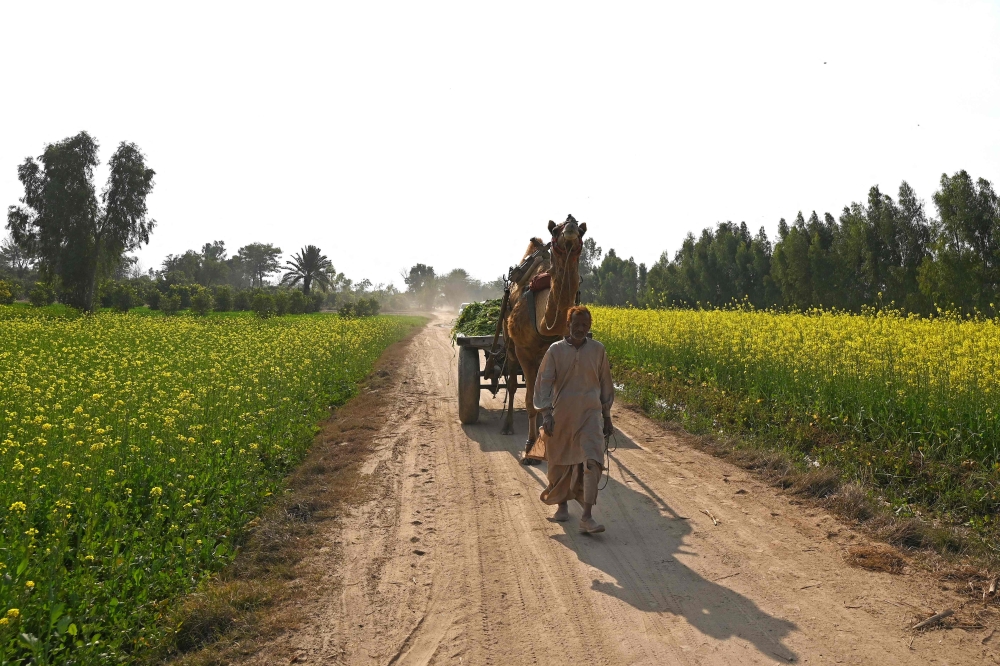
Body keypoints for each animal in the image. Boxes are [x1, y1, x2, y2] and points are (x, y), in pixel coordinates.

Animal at [500, 215, 584, 460]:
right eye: (555, 230)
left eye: (582, 231)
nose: (571, 226)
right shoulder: (523, 351)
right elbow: (529, 400)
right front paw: (529, 446)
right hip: (510, 346)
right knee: (511, 383)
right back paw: (508, 426)